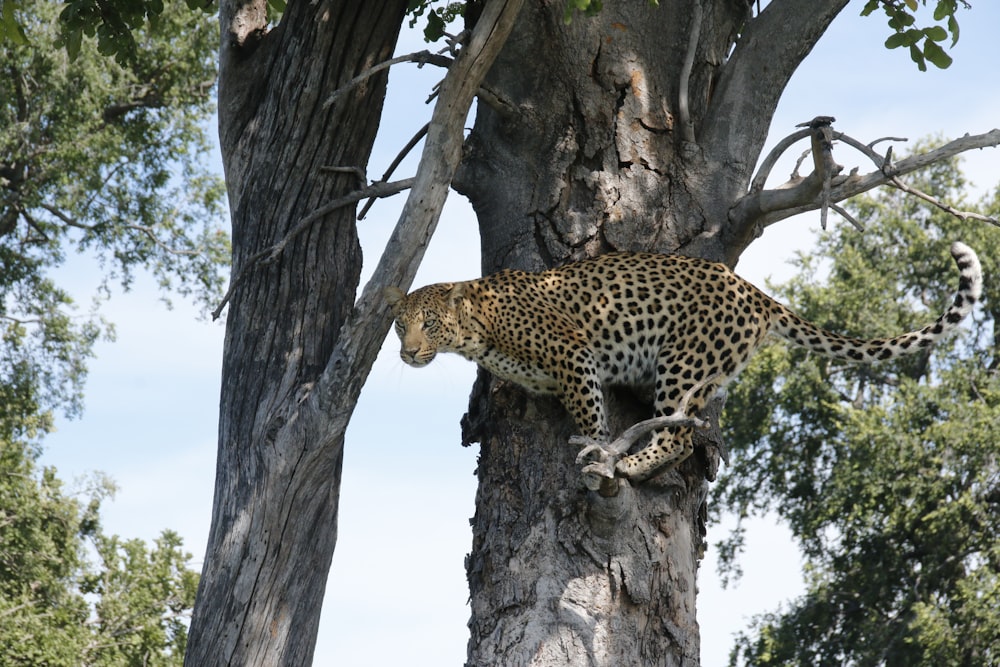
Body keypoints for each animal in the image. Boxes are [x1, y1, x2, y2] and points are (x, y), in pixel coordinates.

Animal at [384, 243, 984, 482]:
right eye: (399, 324)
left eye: (428, 323)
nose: (408, 351)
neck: (479, 333)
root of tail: (754, 291)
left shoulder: (574, 353)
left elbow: (591, 414)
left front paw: (597, 448)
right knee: (691, 430)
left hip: (684, 360)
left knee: (676, 436)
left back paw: (628, 465)